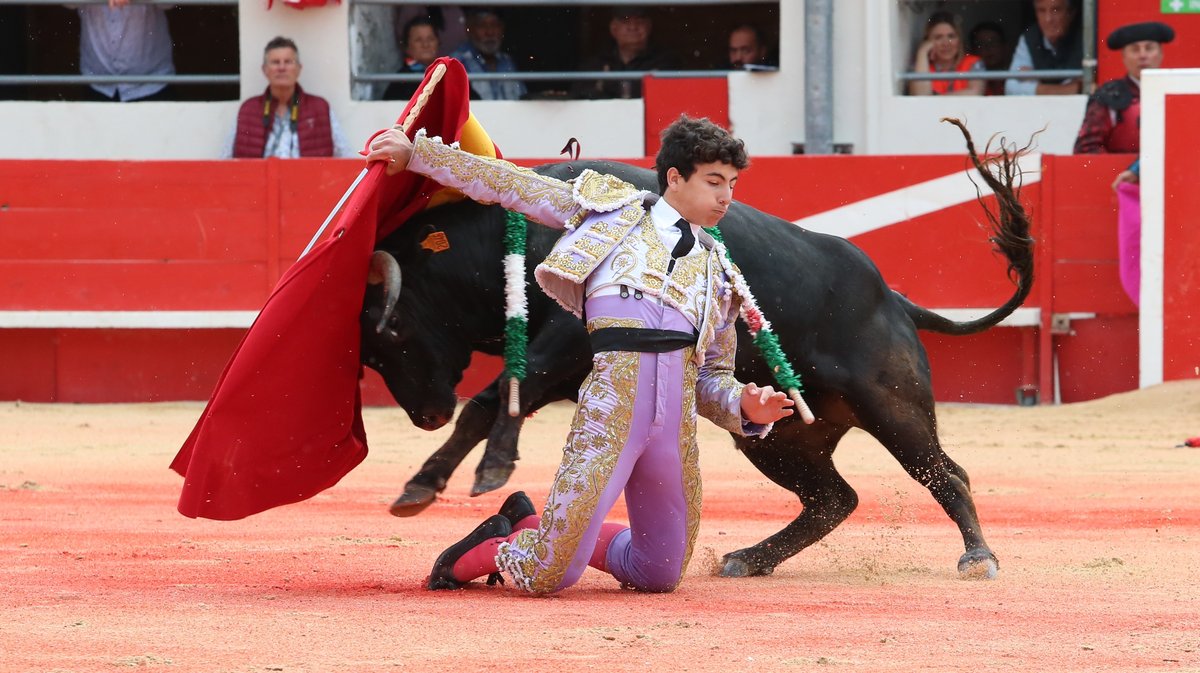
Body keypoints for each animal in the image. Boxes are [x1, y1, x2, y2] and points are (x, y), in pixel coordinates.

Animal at [357, 127, 1032, 578]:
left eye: (393, 333)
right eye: (369, 355)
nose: (426, 415)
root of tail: (893, 298)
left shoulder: (566, 343)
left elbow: (499, 395)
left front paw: (466, 473)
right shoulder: (564, 363)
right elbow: (500, 398)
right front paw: (443, 478)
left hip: (893, 406)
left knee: (945, 472)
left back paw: (978, 556)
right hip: (783, 439)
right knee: (834, 498)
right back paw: (749, 559)